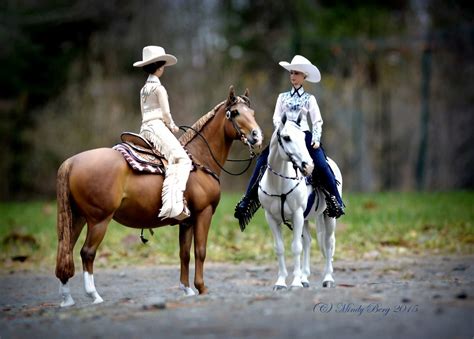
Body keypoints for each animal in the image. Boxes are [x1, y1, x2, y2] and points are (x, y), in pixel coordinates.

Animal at [56, 86, 262, 306]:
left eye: (252, 113)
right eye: (235, 113)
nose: (257, 136)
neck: (200, 160)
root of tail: (71, 162)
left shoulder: (186, 221)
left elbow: (184, 254)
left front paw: (187, 289)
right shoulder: (203, 214)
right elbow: (200, 251)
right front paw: (202, 288)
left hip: (77, 218)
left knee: (66, 250)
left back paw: (67, 299)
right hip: (98, 220)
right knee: (87, 253)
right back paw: (94, 295)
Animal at [260, 113, 340, 290]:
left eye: (304, 138)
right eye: (287, 137)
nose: (308, 166)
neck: (279, 185)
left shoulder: (296, 215)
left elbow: (296, 248)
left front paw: (295, 283)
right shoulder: (271, 218)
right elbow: (280, 248)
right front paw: (281, 282)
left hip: (328, 217)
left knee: (329, 243)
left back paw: (328, 278)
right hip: (306, 220)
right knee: (309, 242)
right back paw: (305, 278)